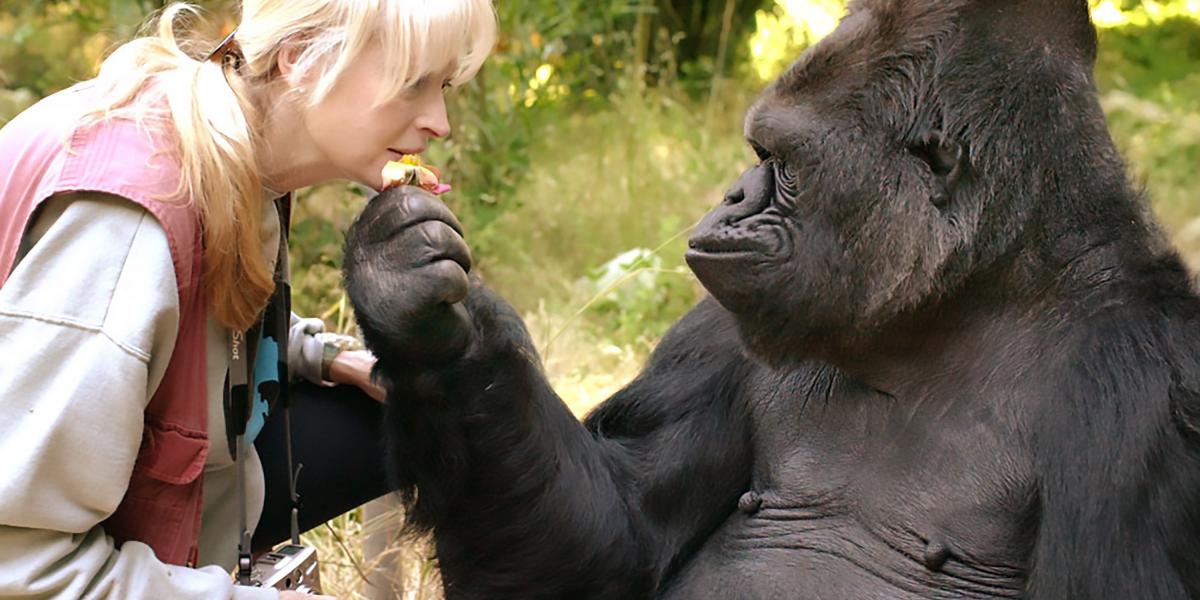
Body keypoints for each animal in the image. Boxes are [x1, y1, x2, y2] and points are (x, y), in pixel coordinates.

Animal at [338, 2, 1200, 597]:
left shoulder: (1146, 394)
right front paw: (420, 317)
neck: (965, 298)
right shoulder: (722, 326)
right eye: (758, 153)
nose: (730, 197)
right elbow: (610, 543)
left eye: (778, 161)